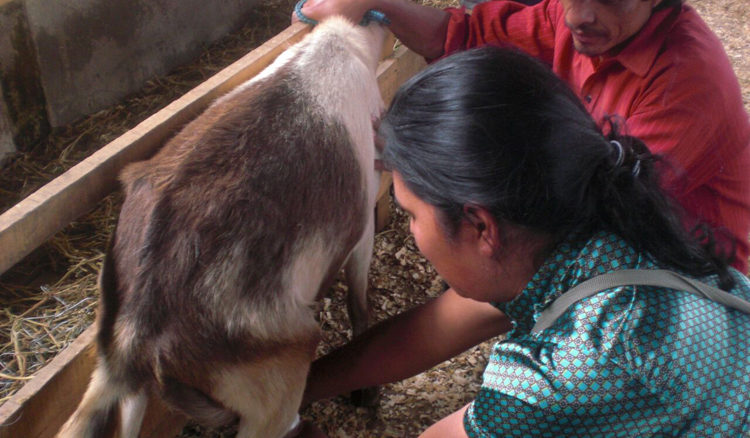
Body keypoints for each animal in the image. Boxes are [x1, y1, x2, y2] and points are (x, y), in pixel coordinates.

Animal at [57, 17, 388, 438]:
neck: (345, 44)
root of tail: (136, 335)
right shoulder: (364, 217)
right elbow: (358, 299)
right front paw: (367, 394)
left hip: (106, 369)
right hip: (276, 382)